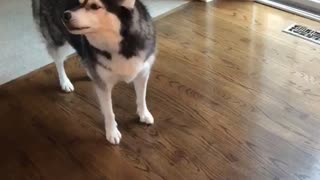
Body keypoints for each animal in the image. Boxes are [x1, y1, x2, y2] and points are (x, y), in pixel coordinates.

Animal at [31, 0, 157, 144]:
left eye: (95, 6)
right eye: (80, 2)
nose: (65, 15)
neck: (121, 46)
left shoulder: (142, 73)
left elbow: (142, 98)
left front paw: (144, 114)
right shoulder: (103, 86)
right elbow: (109, 111)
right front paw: (112, 132)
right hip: (59, 41)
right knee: (59, 62)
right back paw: (65, 82)